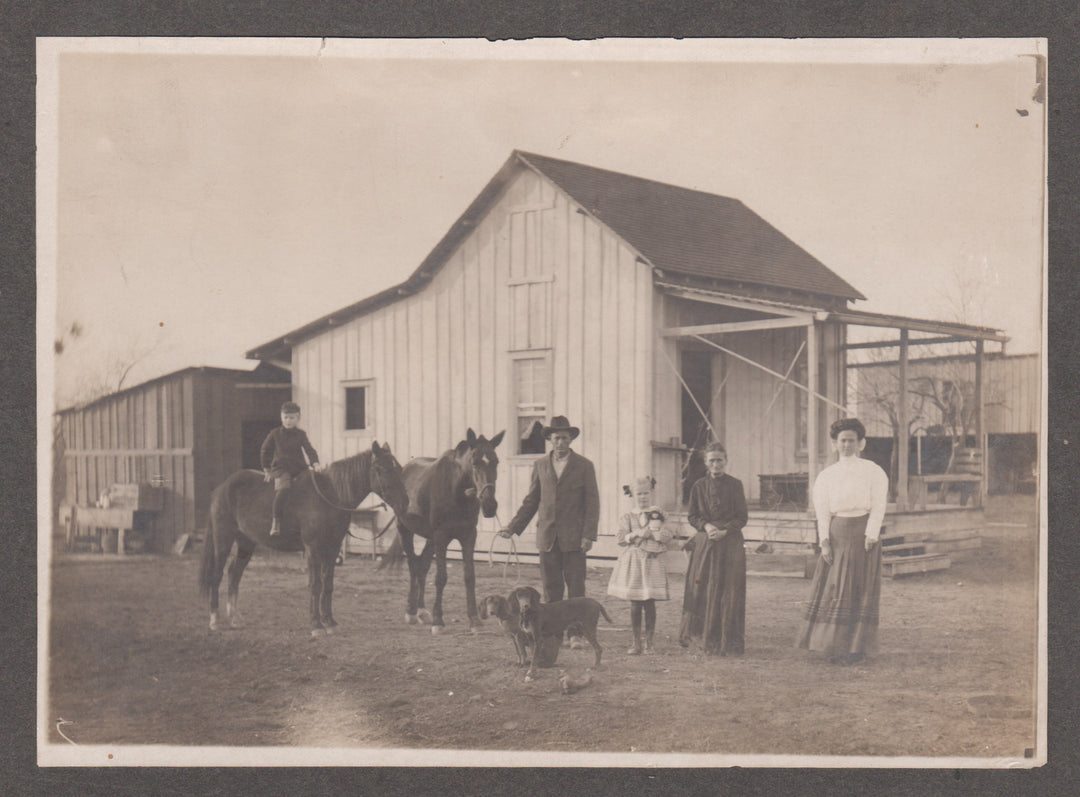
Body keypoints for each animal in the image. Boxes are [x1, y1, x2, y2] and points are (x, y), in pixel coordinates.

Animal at [199, 440, 408, 635]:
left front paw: (329, 622)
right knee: (217, 575)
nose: (404, 503)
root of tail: (221, 488)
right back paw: (214, 620)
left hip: (246, 542)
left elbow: (327, 583)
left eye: (397, 467)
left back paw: (234, 619)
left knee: (234, 574)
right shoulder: (313, 548)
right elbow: (315, 584)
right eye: (382, 469)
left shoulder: (332, 548)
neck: (330, 496)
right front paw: (316, 625)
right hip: (223, 539)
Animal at [395, 427, 503, 635]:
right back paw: (411, 612)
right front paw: (438, 621)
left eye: (495, 461)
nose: (490, 505)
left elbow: (469, 576)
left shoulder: (468, 536)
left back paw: (422, 611)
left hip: (430, 539)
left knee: (422, 567)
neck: (457, 490)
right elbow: (441, 577)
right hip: (406, 530)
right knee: (413, 566)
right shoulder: (441, 536)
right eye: (475, 462)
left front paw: (474, 620)